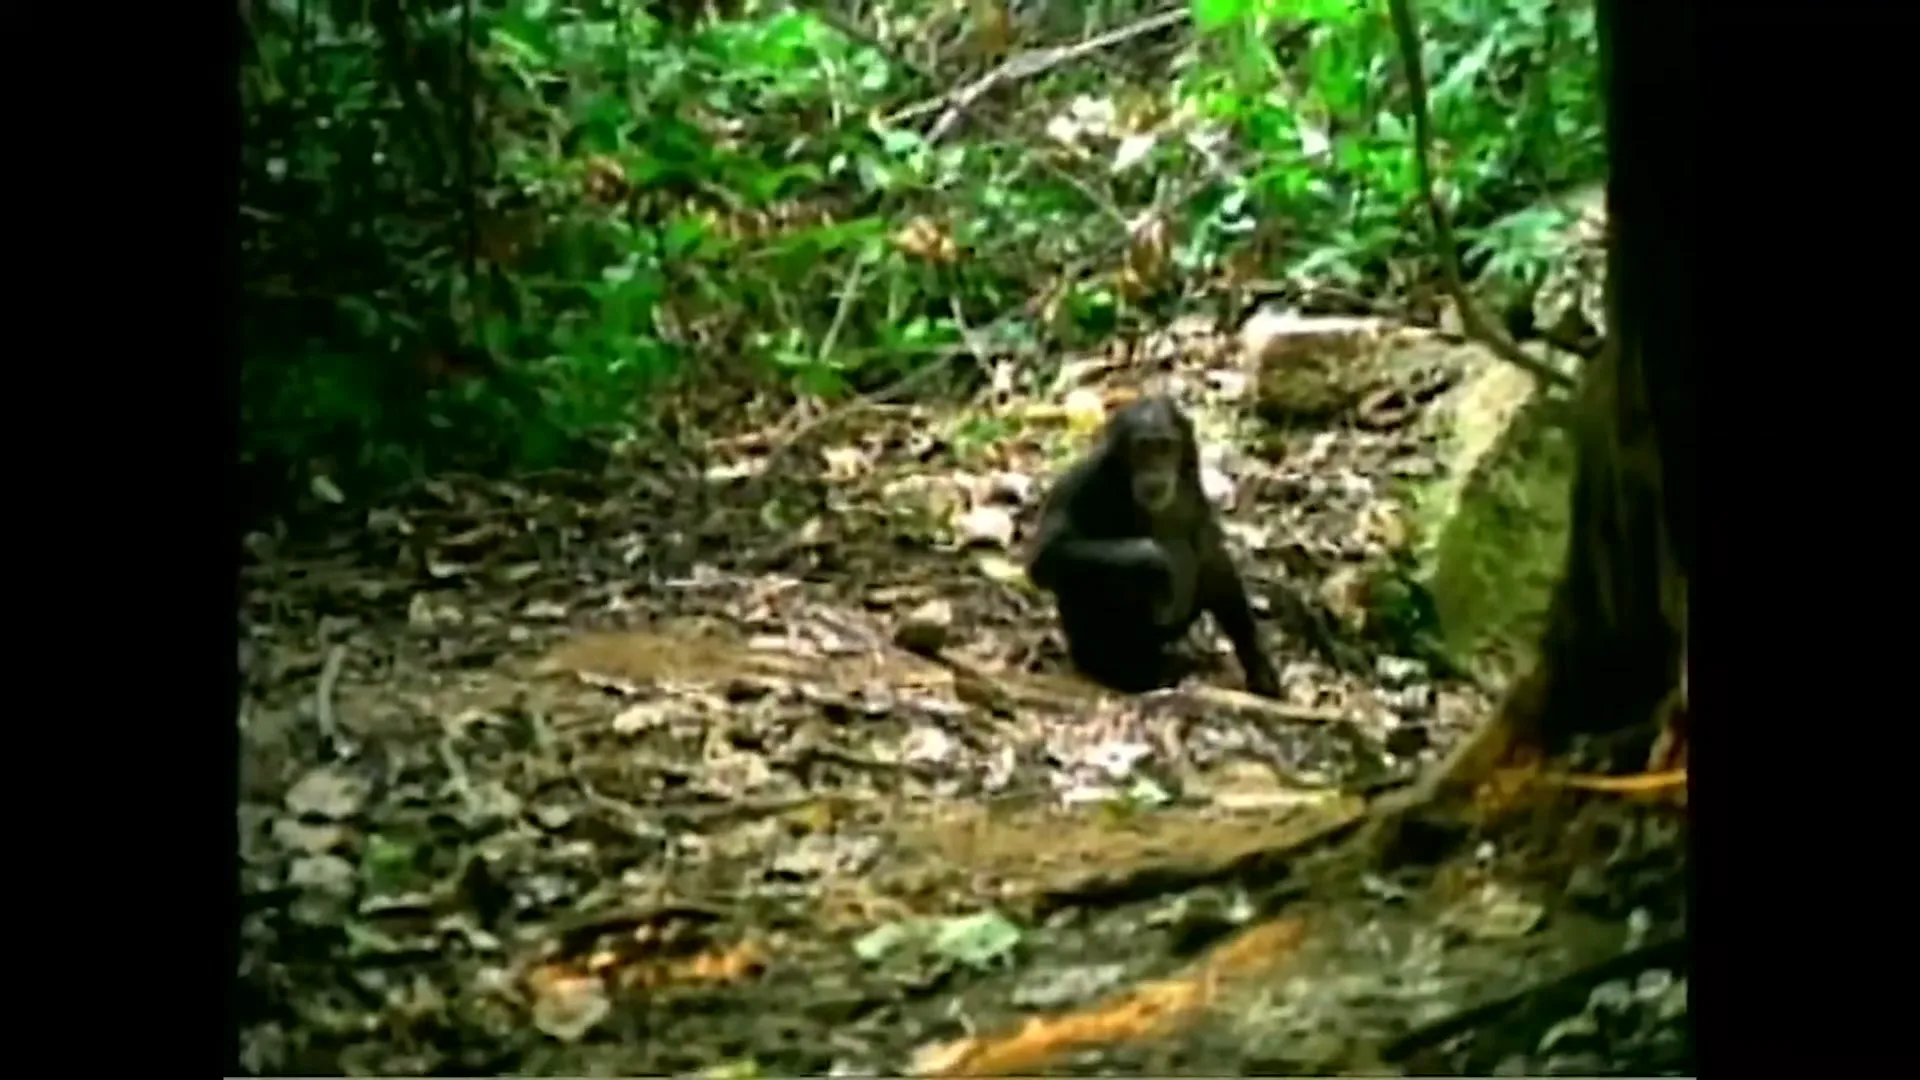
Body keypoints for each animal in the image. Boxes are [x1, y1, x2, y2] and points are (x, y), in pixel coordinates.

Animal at [1026, 395, 1282, 699]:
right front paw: (1153, 561)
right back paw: (1131, 672)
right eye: (1143, 448)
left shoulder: (1192, 483)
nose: (1156, 469)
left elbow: (1213, 559)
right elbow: (1047, 556)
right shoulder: (1082, 482)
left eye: (1165, 447)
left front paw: (1259, 666)